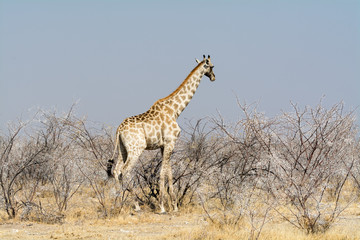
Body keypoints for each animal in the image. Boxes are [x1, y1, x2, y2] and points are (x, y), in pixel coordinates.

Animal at [107, 55, 214, 213]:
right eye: (212, 66)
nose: (213, 77)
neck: (175, 110)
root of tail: (119, 129)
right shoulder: (170, 142)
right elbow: (163, 172)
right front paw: (163, 206)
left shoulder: (164, 145)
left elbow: (169, 172)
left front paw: (174, 206)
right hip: (136, 149)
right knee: (125, 171)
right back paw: (135, 205)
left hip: (122, 149)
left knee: (117, 170)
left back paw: (120, 203)